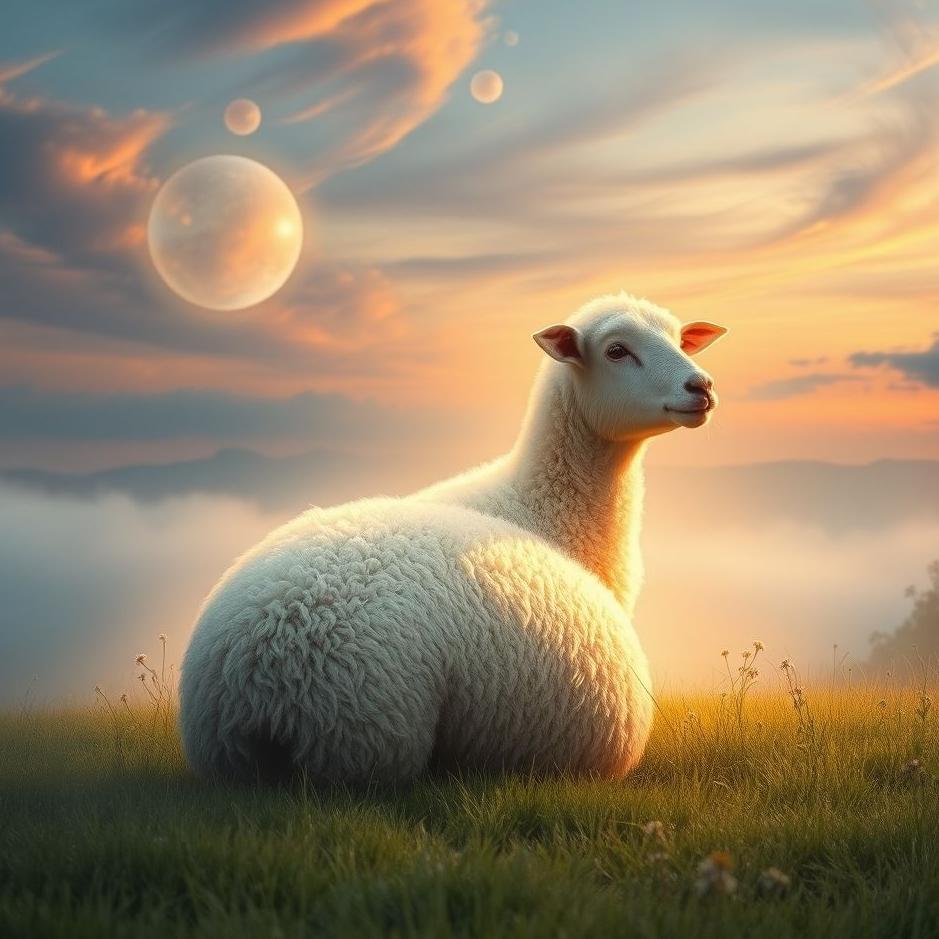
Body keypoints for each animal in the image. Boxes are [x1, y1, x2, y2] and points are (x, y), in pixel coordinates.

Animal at [179, 292, 727, 784]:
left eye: (679, 338)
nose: (701, 386)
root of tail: (261, 674)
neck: (539, 506)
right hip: (371, 731)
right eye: (616, 350)